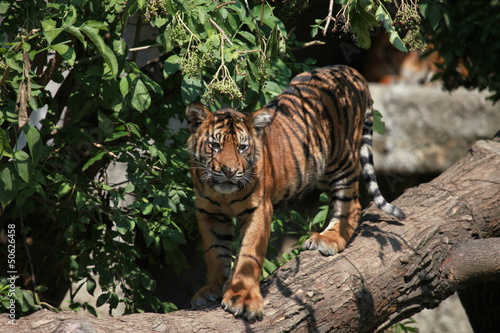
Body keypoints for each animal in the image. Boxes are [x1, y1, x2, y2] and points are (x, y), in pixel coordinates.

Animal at [186, 63, 404, 320]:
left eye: (242, 147)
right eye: (215, 145)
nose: (229, 171)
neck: (223, 194)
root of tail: (349, 69)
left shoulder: (258, 209)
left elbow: (249, 253)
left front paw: (243, 298)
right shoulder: (209, 213)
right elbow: (214, 253)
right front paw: (213, 287)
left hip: (341, 160)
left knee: (351, 203)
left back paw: (328, 239)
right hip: (318, 171)